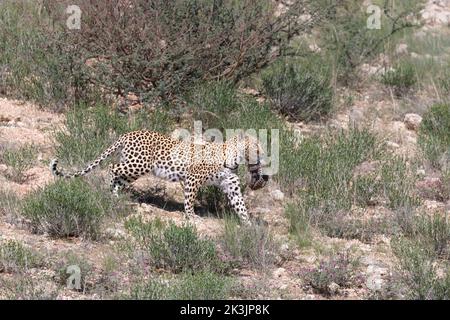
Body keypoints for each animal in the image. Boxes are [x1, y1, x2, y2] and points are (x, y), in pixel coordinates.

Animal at [50, 129, 268, 224]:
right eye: (257, 147)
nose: (264, 155)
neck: (233, 157)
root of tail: (128, 133)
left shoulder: (230, 184)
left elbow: (240, 205)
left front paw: (248, 225)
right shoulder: (192, 179)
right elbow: (189, 200)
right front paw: (191, 216)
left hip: (134, 168)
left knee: (119, 177)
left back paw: (115, 196)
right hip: (138, 164)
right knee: (112, 168)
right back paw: (110, 192)